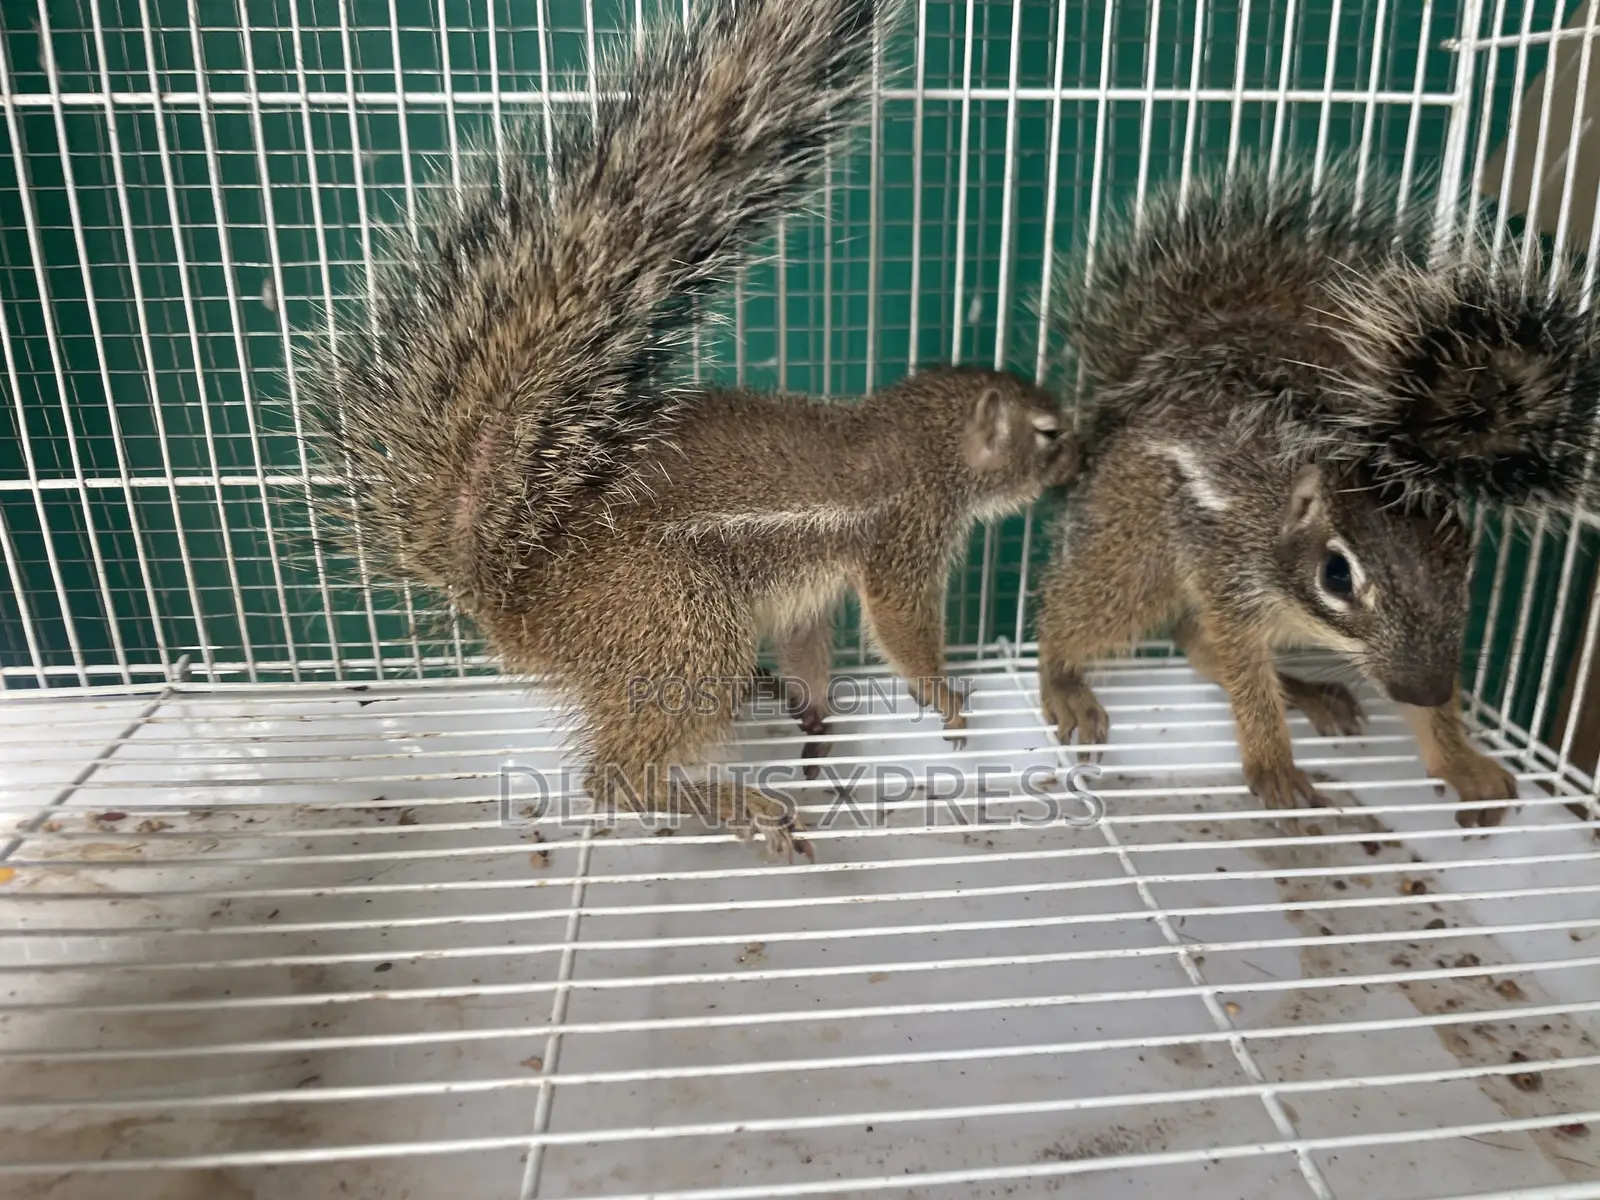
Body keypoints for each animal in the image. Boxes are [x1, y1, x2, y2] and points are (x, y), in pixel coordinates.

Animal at [296, 0, 1080, 861]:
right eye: (1046, 432)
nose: (1081, 457)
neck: (916, 436)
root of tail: (514, 599)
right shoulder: (904, 541)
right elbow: (902, 628)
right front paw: (944, 697)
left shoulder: (808, 590)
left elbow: (808, 647)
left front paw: (816, 715)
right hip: (685, 630)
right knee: (617, 776)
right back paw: (736, 806)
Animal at [1034, 154, 1600, 826]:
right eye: (1336, 575)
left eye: (1465, 571)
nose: (1421, 687)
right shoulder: (1233, 582)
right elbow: (1246, 675)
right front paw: (1274, 766)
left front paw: (1461, 760)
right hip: (1137, 549)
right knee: (1089, 616)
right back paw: (1063, 679)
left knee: (1195, 644)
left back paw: (1313, 693)